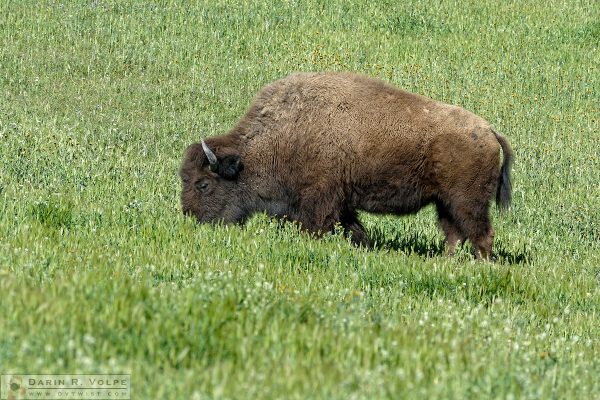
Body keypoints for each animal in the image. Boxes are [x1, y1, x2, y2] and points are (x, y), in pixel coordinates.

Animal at [178, 72, 510, 260]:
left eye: (203, 184)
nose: (192, 220)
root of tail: (489, 131)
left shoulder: (318, 199)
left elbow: (316, 226)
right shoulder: (342, 203)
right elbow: (353, 228)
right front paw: (363, 246)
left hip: (467, 201)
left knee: (480, 233)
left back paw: (482, 264)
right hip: (445, 202)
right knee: (454, 233)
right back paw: (447, 262)